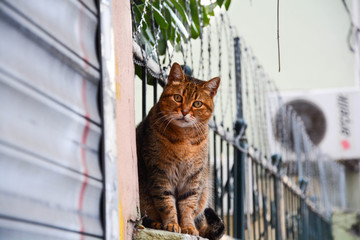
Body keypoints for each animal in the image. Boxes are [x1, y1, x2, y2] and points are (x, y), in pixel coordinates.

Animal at [136, 62, 224, 240]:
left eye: (197, 104)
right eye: (178, 98)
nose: (184, 112)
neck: (184, 139)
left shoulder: (193, 178)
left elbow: (187, 206)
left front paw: (188, 227)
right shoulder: (160, 172)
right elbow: (166, 202)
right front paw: (171, 224)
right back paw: (155, 223)